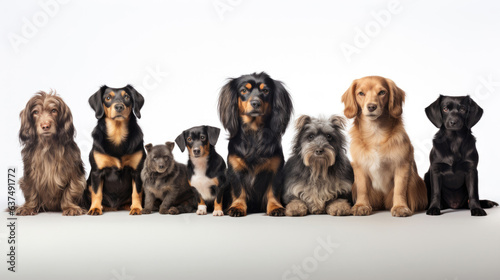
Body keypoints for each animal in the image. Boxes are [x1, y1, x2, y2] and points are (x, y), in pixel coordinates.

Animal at [84, 84, 146, 215]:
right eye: (108, 98)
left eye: (127, 97)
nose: (119, 106)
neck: (117, 134)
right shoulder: (97, 172)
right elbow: (97, 192)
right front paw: (95, 208)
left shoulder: (137, 171)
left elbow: (137, 192)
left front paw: (136, 208)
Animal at [218, 72, 292, 217]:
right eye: (243, 90)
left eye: (266, 91)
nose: (256, 103)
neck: (254, 132)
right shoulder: (235, 169)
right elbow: (239, 191)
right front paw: (237, 207)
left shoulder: (276, 169)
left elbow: (273, 190)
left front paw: (275, 207)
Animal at [342, 76, 428, 217]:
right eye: (361, 93)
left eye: (382, 92)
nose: (371, 106)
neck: (376, 132)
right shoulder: (360, 167)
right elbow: (362, 189)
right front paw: (361, 205)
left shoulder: (402, 166)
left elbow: (399, 189)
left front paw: (400, 207)